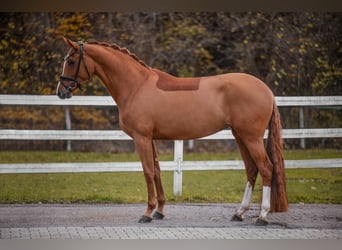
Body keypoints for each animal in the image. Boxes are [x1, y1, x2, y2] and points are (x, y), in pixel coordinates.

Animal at [56, 36, 288, 225]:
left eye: (72, 62)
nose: (61, 92)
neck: (136, 86)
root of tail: (267, 90)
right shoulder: (150, 138)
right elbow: (157, 171)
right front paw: (159, 210)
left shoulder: (141, 138)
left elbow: (148, 172)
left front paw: (147, 213)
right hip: (240, 136)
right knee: (251, 169)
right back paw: (239, 213)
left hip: (251, 137)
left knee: (266, 168)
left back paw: (262, 216)